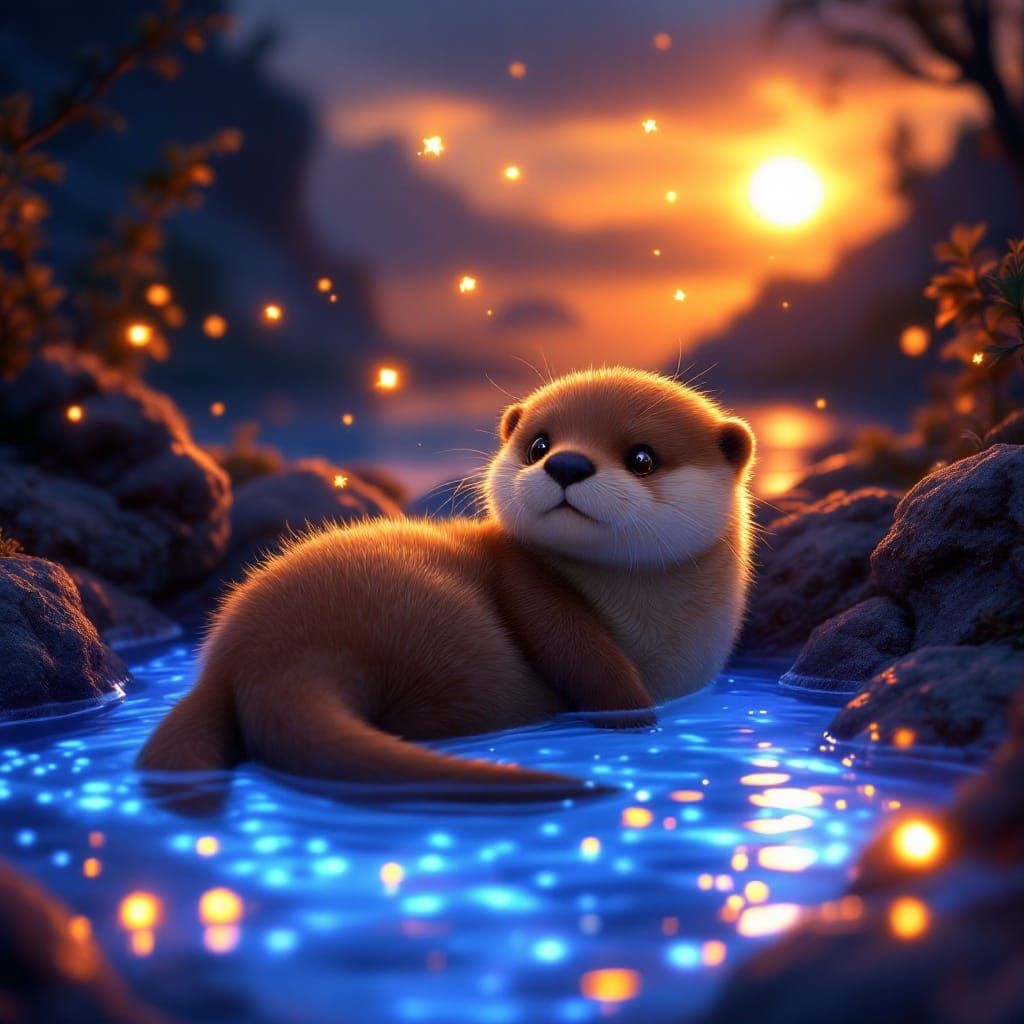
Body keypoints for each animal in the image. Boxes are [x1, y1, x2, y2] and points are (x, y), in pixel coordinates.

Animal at [138, 368, 755, 801]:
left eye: (642, 457)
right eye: (539, 444)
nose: (567, 464)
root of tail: (260, 659)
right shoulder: (527, 582)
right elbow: (578, 649)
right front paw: (633, 715)